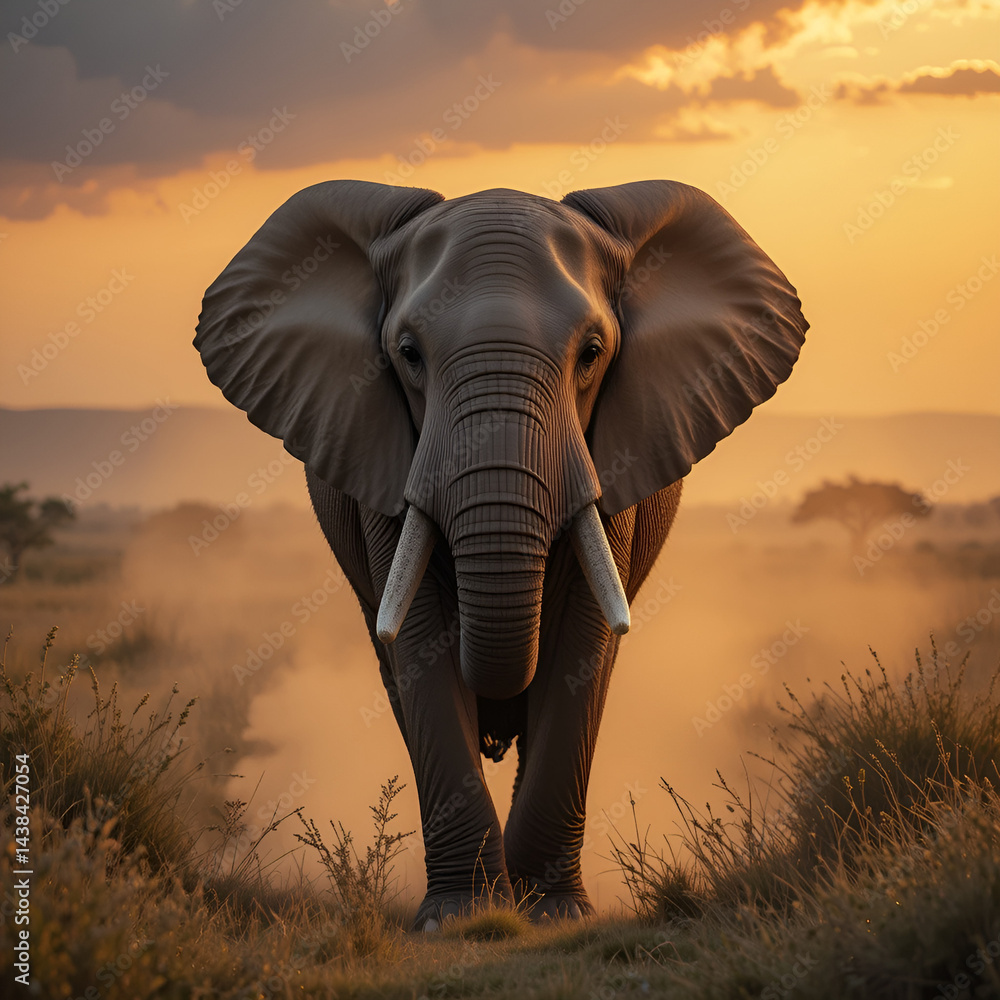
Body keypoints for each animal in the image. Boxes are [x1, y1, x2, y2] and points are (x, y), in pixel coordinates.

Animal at [194, 179, 808, 929]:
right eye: (408, 353)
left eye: (592, 353)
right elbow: (421, 644)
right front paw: (459, 918)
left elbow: (580, 649)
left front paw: (551, 915)